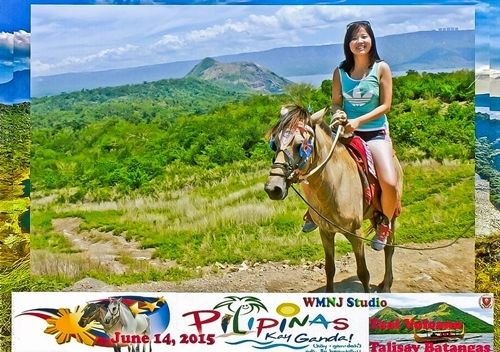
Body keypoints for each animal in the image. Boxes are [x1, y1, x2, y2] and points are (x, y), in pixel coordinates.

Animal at [266, 104, 402, 292]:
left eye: (300, 145)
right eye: (275, 144)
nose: (273, 188)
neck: (334, 185)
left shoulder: (356, 234)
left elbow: (363, 273)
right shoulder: (326, 232)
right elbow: (329, 268)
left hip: (392, 214)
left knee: (389, 248)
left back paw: (386, 284)